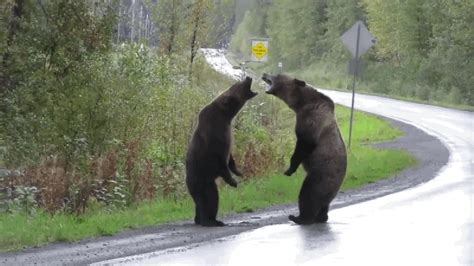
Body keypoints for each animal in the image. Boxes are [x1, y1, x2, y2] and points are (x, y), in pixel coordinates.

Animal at [187, 76, 258, 227]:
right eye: (237, 84)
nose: (248, 77)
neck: (225, 116)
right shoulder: (214, 139)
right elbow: (221, 162)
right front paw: (233, 181)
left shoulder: (227, 135)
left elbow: (230, 157)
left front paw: (239, 172)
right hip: (199, 178)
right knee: (204, 199)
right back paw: (208, 221)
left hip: (209, 182)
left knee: (213, 198)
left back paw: (209, 219)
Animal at [262, 72, 346, 224]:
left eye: (277, 74)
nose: (264, 73)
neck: (301, 103)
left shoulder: (311, 120)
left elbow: (304, 144)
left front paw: (289, 169)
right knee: (324, 204)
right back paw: (321, 217)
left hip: (321, 176)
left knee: (308, 195)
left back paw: (298, 217)